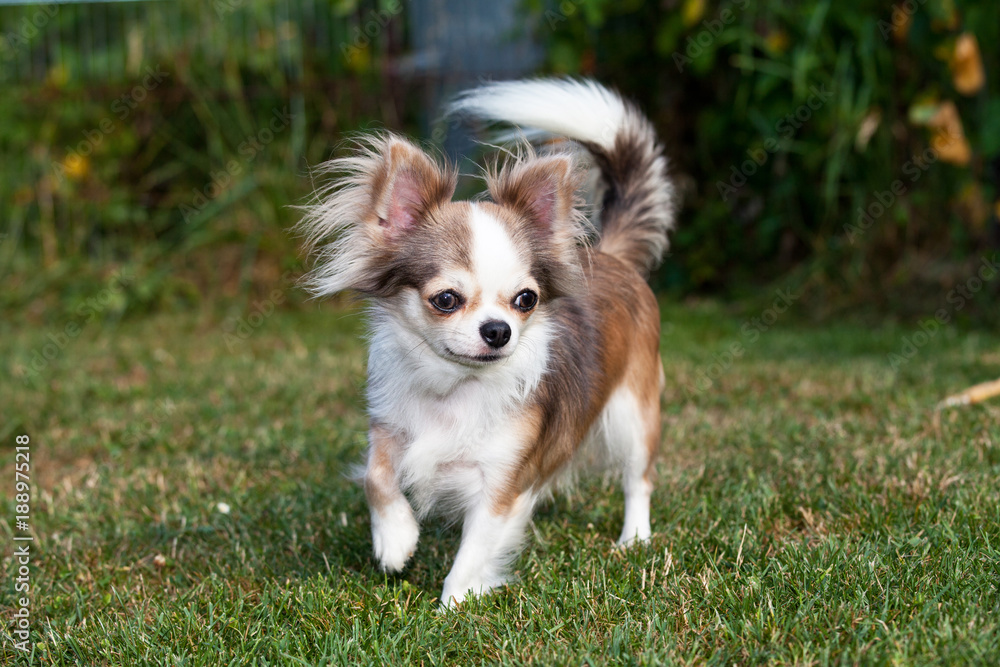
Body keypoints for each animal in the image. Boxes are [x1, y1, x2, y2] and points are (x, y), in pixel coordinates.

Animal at [296, 78, 672, 604]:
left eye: (526, 299)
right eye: (446, 300)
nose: (498, 330)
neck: (454, 388)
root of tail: (611, 255)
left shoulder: (500, 486)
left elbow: (474, 550)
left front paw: (452, 605)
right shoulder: (388, 430)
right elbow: (376, 477)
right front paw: (396, 540)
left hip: (633, 414)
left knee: (638, 478)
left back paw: (634, 538)